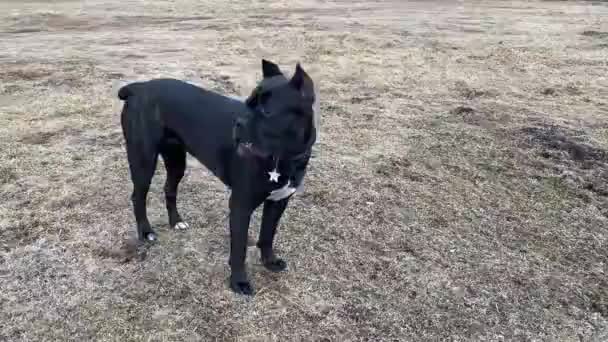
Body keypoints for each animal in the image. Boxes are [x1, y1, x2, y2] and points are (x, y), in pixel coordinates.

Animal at [118, 58, 318, 294]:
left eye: (267, 112)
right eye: (248, 103)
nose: (238, 123)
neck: (282, 157)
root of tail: (139, 87)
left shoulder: (278, 202)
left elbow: (268, 234)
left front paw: (269, 261)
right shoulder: (240, 206)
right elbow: (239, 248)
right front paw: (239, 282)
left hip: (176, 160)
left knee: (169, 189)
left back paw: (176, 221)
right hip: (144, 161)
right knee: (138, 197)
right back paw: (146, 232)